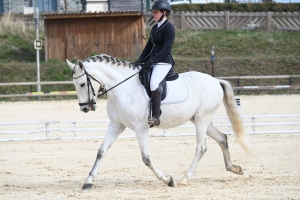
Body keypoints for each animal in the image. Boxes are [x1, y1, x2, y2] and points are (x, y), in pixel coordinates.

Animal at [66, 53, 253, 189]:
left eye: (82, 84)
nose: (84, 108)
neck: (123, 89)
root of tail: (215, 80)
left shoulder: (141, 128)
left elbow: (146, 158)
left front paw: (168, 179)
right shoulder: (116, 125)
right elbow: (101, 151)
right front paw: (88, 181)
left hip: (202, 119)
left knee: (201, 147)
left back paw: (184, 179)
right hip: (200, 119)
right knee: (222, 138)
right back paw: (234, 168)